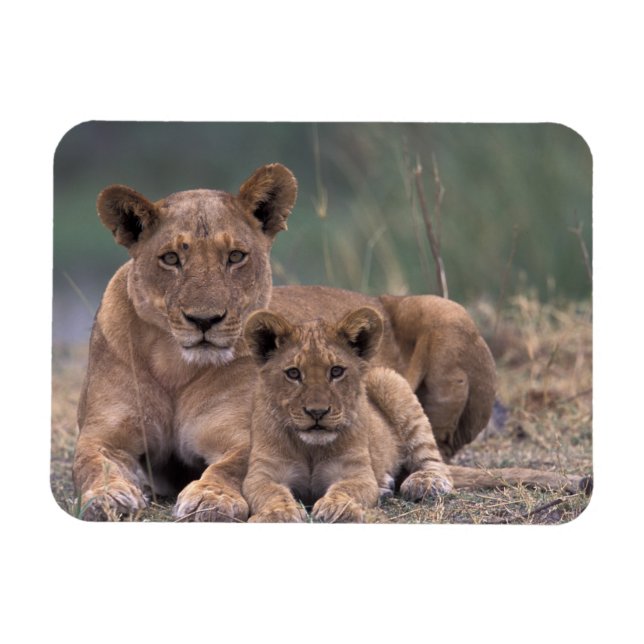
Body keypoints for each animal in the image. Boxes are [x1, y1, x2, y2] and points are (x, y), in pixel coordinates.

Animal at [73, 162, 497, 520]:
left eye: (235, 256)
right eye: (171, 258)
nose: (204, 320)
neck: (173, 365)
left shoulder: (250, 435)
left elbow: (231, 465)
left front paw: (211, 497)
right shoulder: (103, 434)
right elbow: (91, 462)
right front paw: (109, 495)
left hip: (446, 311)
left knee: (433, 451)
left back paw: (414, 479)